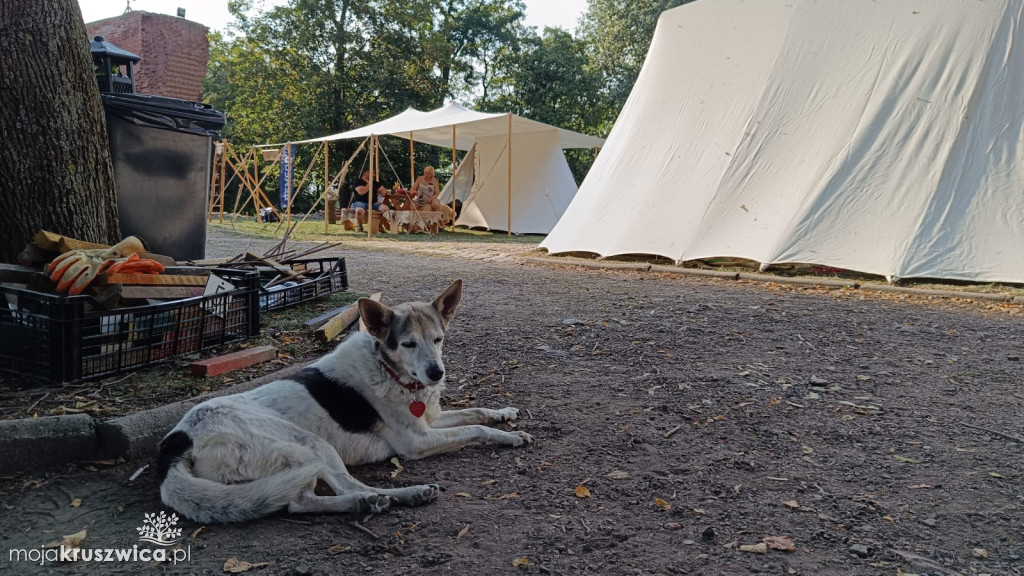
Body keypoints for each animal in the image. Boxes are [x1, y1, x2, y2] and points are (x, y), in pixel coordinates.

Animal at [157, 280, 536, 522]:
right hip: (309, 444)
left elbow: (476, 411)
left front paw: (504, 414)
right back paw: (399, 495)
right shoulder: (417, 441)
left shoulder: (428, 421)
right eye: (408, 344)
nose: (436, 374)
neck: (389, 371)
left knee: (299, 503)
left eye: (438, 339)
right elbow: (475, 429)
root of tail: (176, 441)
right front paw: (510, 437)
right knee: (341, 486)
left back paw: (367, 503)